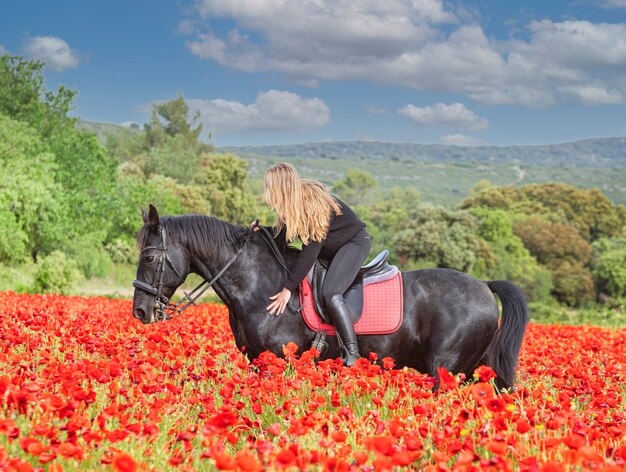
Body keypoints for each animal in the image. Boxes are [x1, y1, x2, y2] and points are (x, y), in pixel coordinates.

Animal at [132, 205, 528, 390]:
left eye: (149, 258)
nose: (139, 311)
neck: (258, 285)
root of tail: (484, 286)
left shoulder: (280, 362)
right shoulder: (258, 362)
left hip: (445, 370)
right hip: (473, 370)